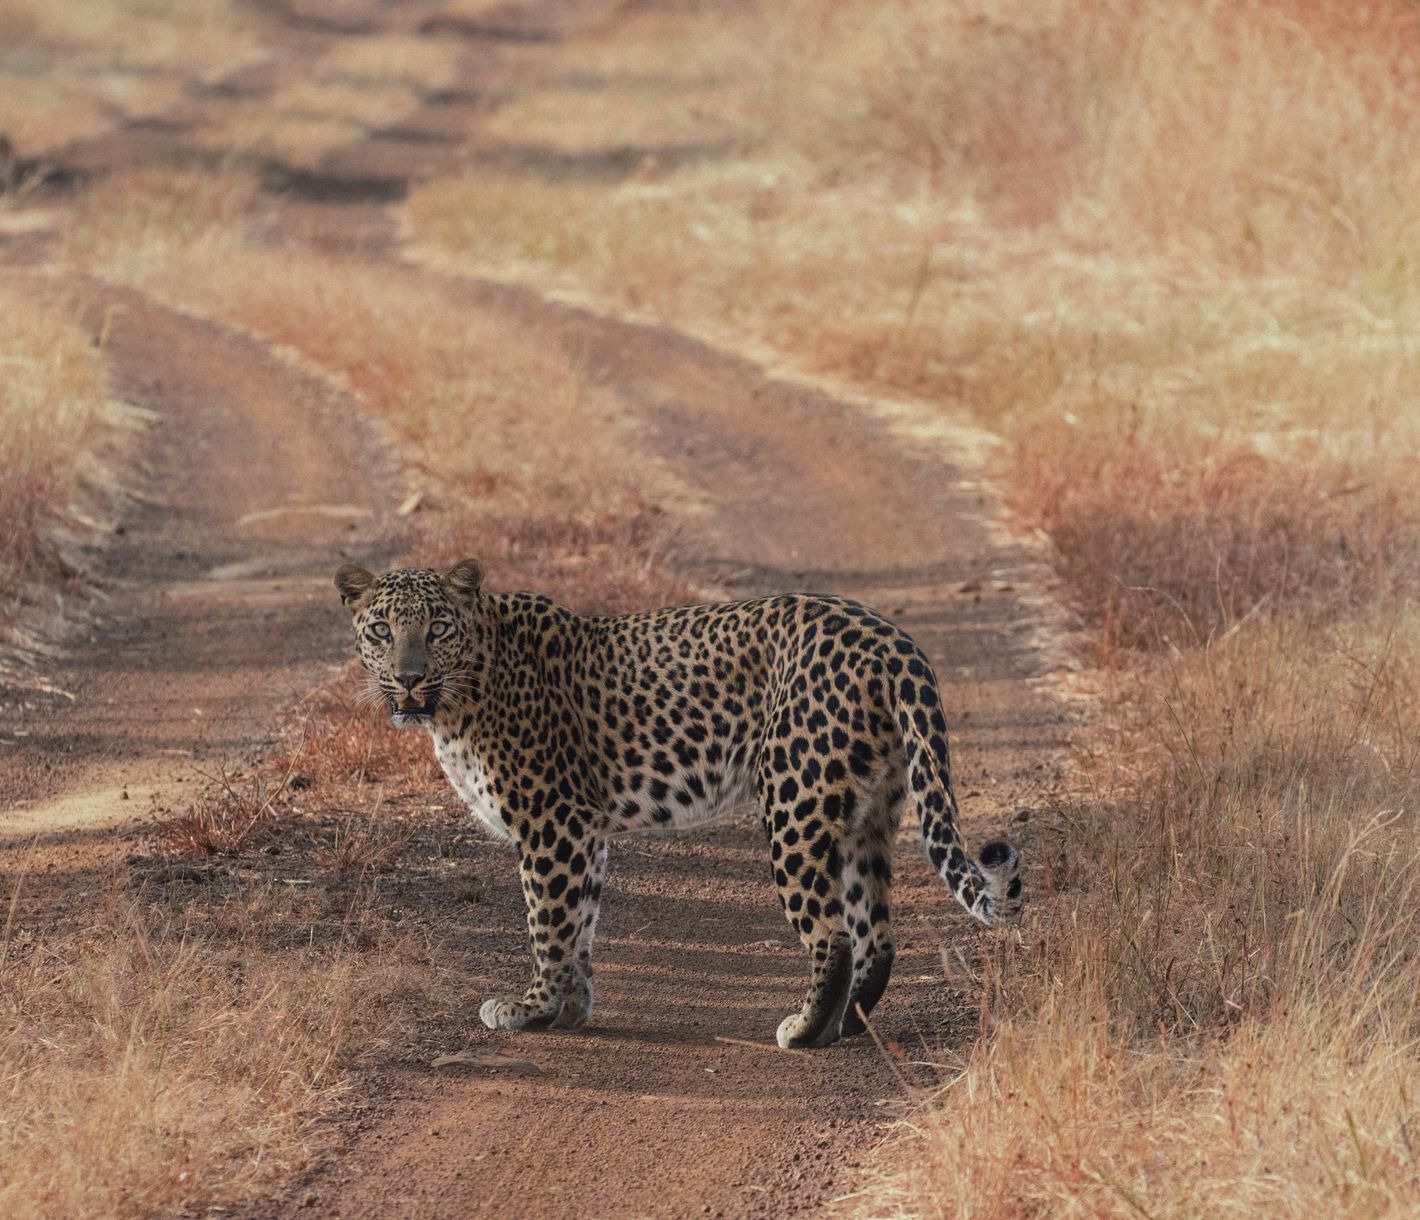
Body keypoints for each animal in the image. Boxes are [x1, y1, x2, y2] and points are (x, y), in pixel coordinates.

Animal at [335, 558, 1022, 1049]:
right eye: (382, 630)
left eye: (436, 628)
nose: (408, 679)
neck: (460, 696)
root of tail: (891, 637)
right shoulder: (585, 831)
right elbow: (580, 922)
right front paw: (572, 1009)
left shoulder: (552, 822)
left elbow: (547, 923)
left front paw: (532, 1008)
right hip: (868, 811)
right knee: (875, 934)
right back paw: (851, 1026)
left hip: (795, 802)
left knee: (833, 936)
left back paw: (803, 1031)